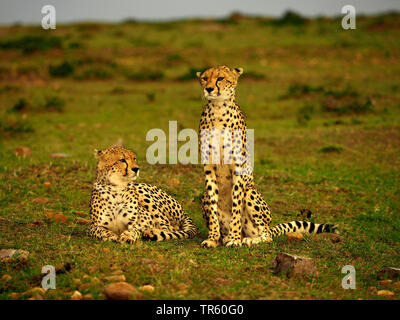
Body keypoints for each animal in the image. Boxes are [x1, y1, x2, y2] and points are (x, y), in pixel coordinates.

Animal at [197, 66, 338, 249]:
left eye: (220, 78)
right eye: (205, 78)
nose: (208, 89)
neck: (218, 108)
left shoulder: (238, 167)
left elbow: (236, 206)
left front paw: (235, 239)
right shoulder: (208, 168)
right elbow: (214, 209)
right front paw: (213, 238)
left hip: (251, 193)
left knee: (267, 235)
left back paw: (246, 239)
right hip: (204, 197)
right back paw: (225, 237)